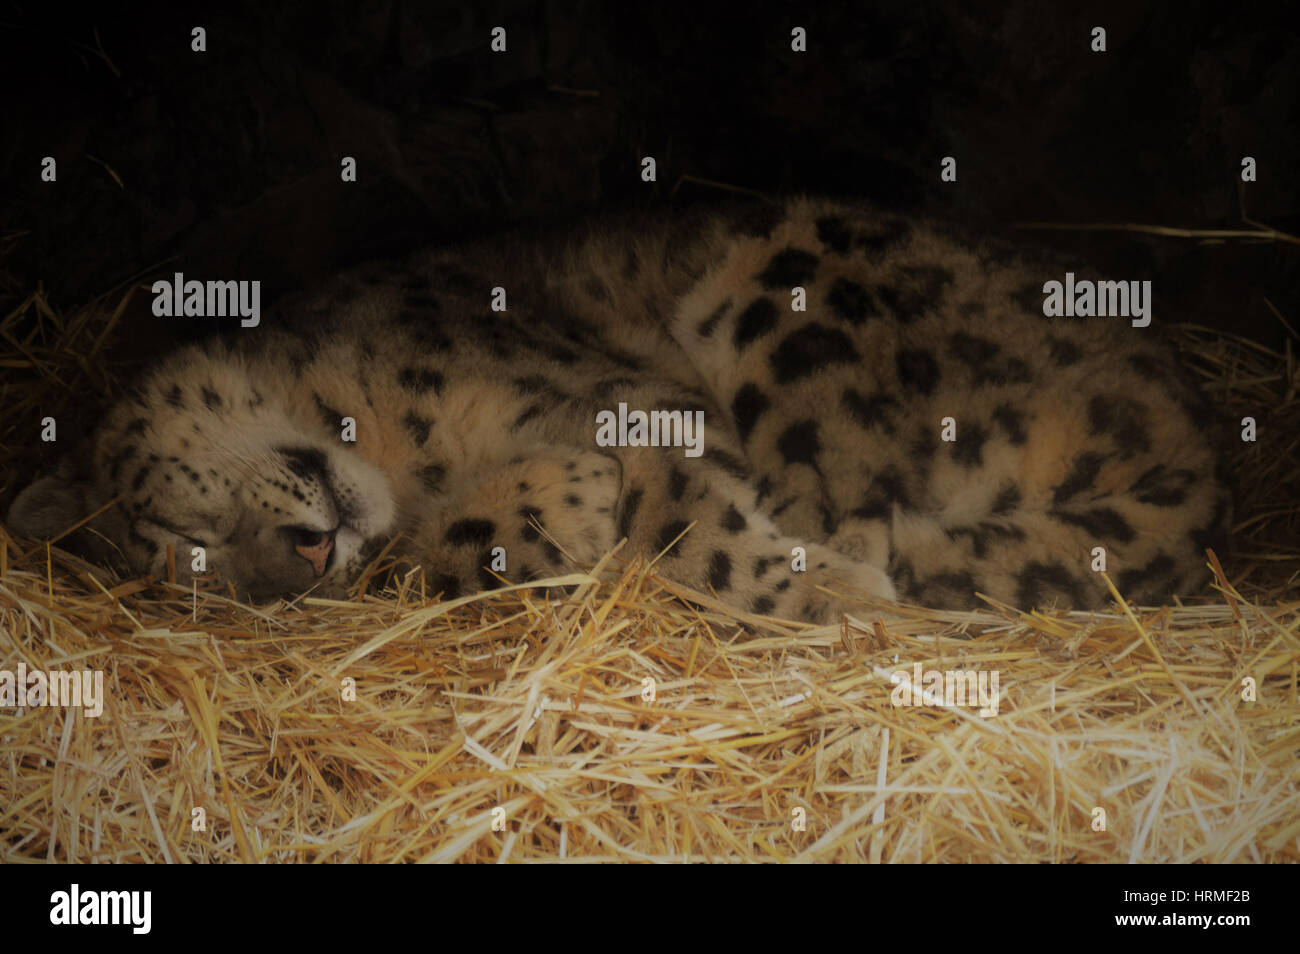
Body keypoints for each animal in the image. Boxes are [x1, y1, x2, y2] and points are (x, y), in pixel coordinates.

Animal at [6, 197, 1232, 623]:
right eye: (201, 572)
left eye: (185, 529)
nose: (304, 560)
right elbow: (472, 544)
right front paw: (548, 508)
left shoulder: (628, 396)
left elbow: (695, 526)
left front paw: (825, 596)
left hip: (788, 273)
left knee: (843, 490)